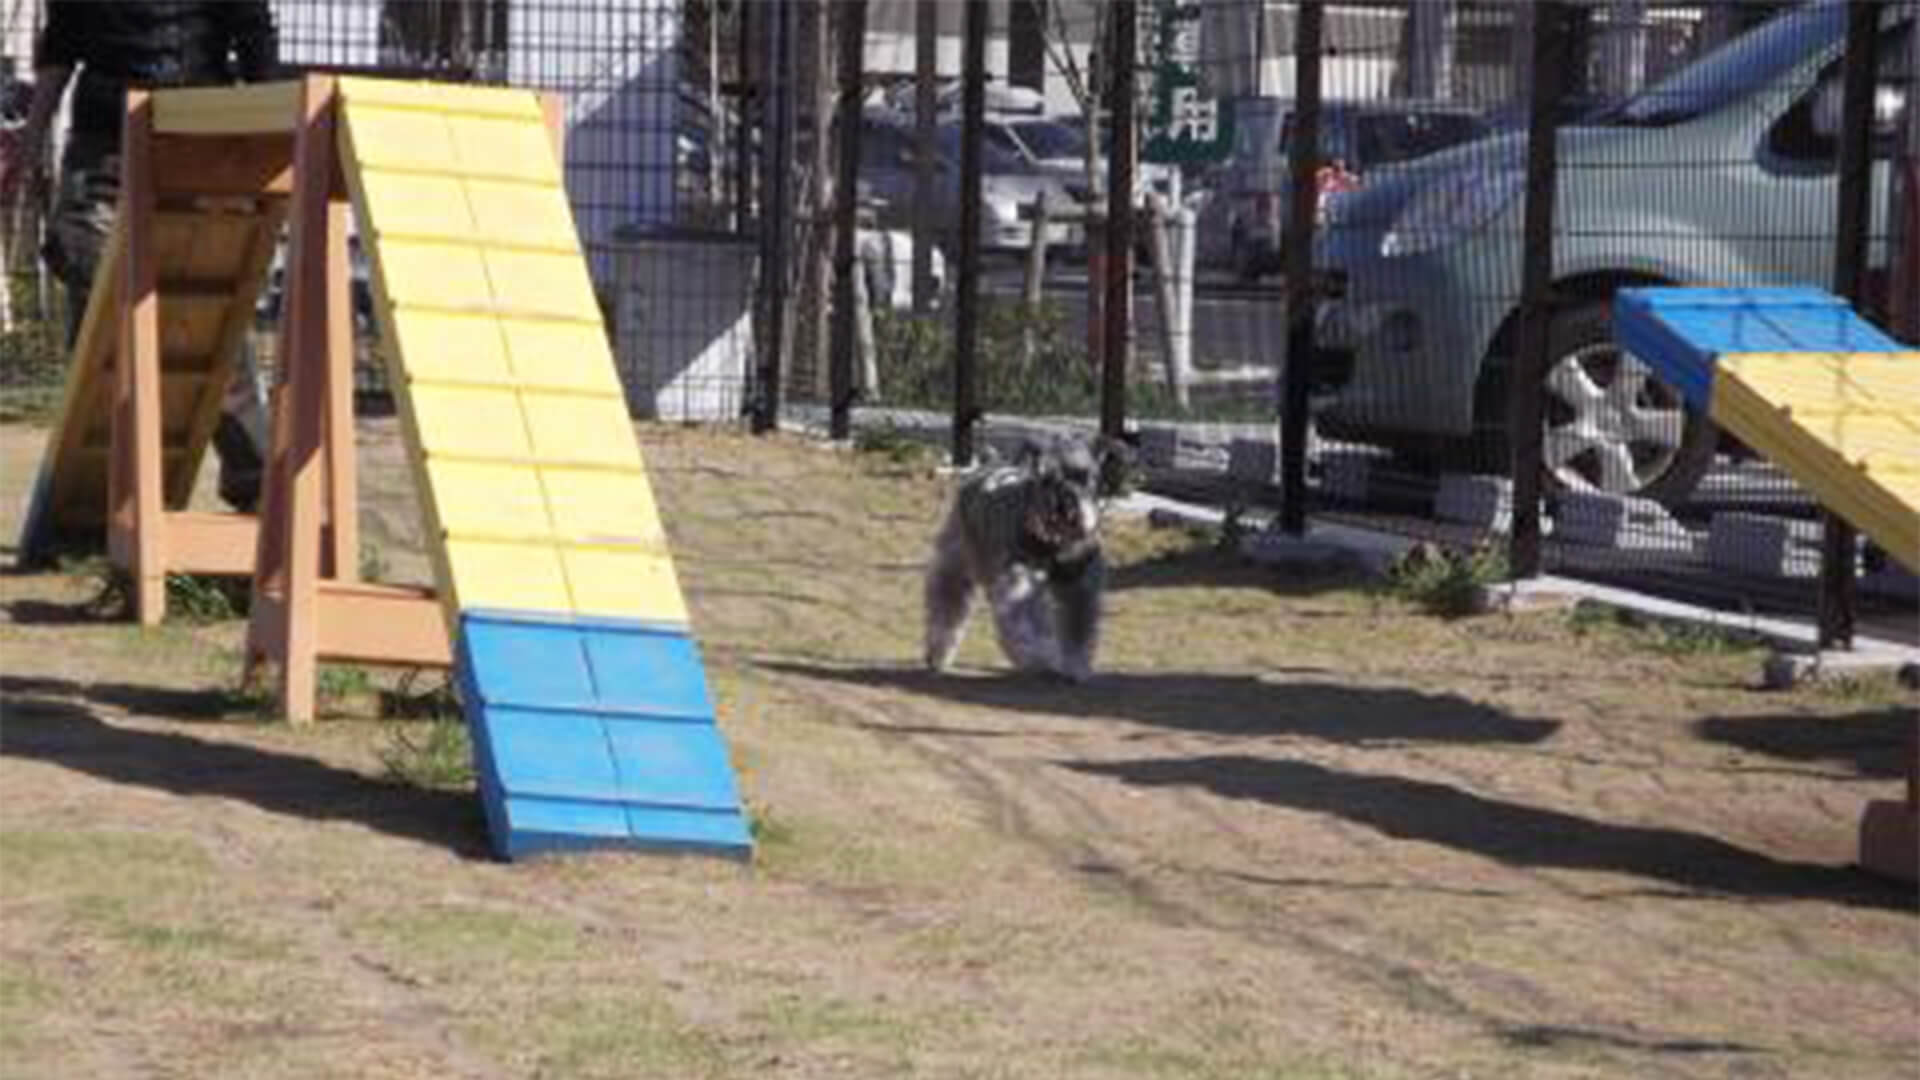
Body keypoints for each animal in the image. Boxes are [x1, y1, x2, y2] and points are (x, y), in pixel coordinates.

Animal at [917, 430, 1121, 676]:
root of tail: (988, 465)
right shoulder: (1018, 585)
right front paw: (1041, 656)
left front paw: (1076, 665)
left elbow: (1078, 629)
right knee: (946, 606)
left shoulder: (1080, 587)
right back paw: (937, 654)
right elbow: (1025, 626)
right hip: (956, 564)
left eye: (1082, 476)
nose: (1064, 505)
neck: (1055, 545)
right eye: (1046, 478)